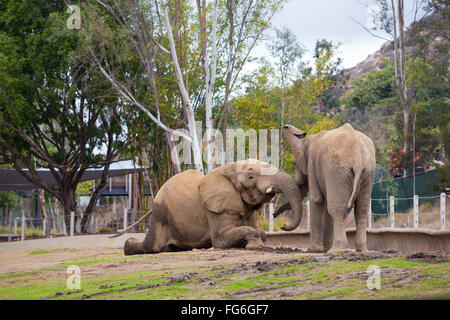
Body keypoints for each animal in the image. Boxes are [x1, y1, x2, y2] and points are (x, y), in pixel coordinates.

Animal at [280, 123, 374, 252]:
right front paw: (324, 248)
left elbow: (317, 199)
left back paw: (337, 249)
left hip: (336, 170)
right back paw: (361, 249)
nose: (283, 226)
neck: (309, 138)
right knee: (362, 209)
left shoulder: (312, 165)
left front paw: (314, 250)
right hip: (368, 171)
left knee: (336, 208)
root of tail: (358, 156)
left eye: (294, 163)